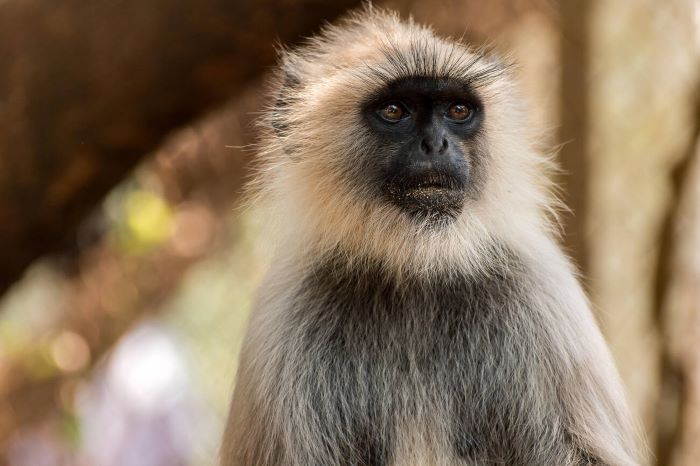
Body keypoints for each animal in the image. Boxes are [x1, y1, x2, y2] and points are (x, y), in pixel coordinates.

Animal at [221, 6, 644, 466]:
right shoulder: (285, 314)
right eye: (394, 111)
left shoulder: (540, 290)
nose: (436, 144)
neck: (416, 270)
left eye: (457, 111)